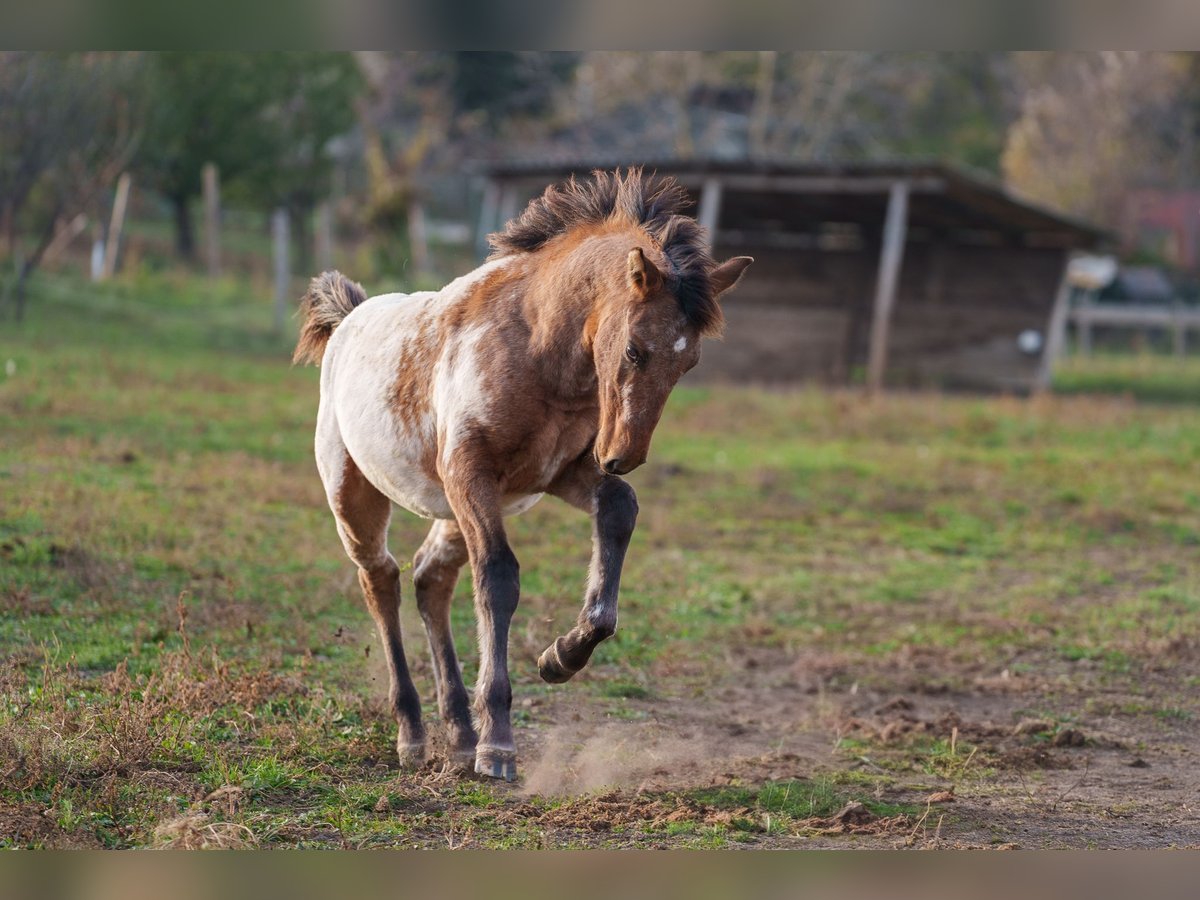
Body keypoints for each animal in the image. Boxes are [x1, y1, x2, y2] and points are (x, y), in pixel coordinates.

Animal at [292, 169, 748, 782]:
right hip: (358, 494)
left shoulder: (557, 473)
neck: (537, 348)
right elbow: (499, 578)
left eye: (689, 362)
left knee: (430, 579)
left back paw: (459, 734)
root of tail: (348, 320)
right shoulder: (472, 472)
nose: (623, 454)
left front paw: (561, 657)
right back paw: (415, 734)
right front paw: (500, 745)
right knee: (381, 580)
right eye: (634, 349)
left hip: (456, 509)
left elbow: (619, 509)